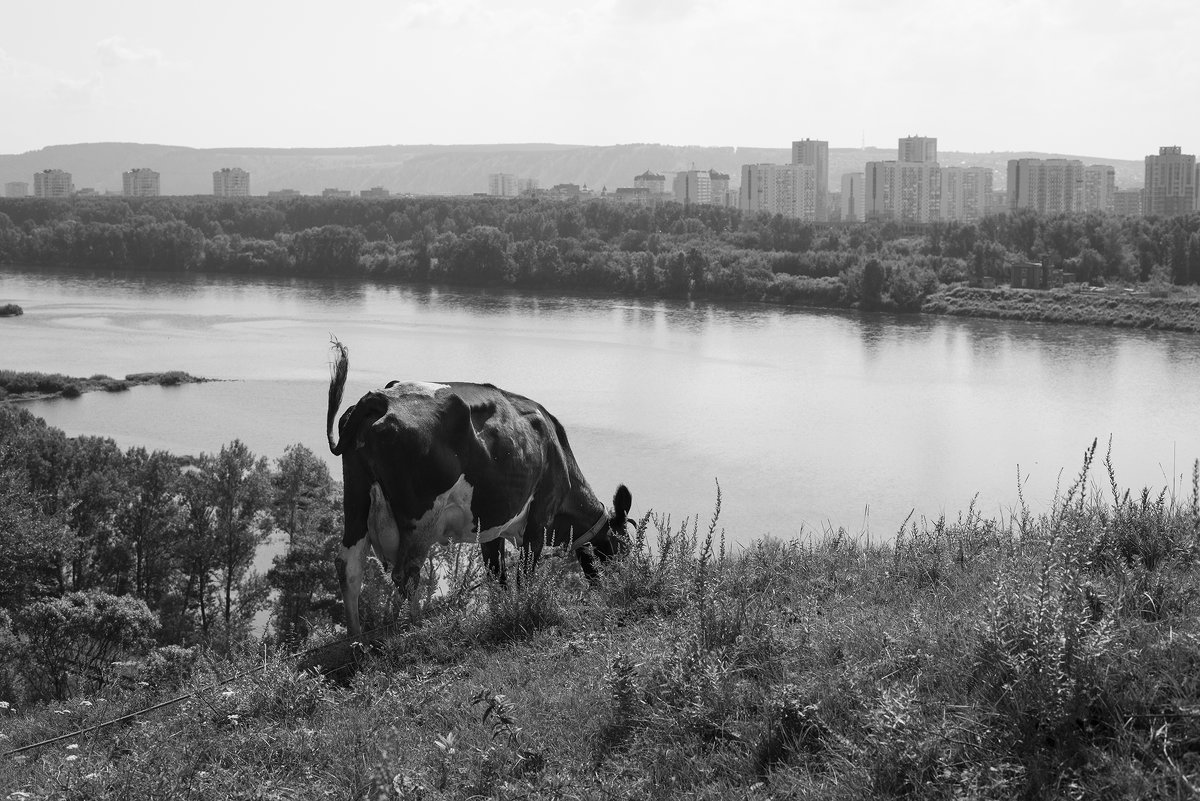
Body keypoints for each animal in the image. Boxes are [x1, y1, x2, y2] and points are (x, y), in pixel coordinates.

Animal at [324, 340, 633, 642]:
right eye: (623, 549)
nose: (617, 583)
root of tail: (380, 398)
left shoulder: (490, 527)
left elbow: (497, 576)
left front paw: (502, 611)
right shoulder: (540, 515)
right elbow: (525, 574)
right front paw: (525, 607)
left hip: (356, 500)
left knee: (348, 566)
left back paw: (356, 639)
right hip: (421, 515)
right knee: (406, 573)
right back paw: (413, 628)